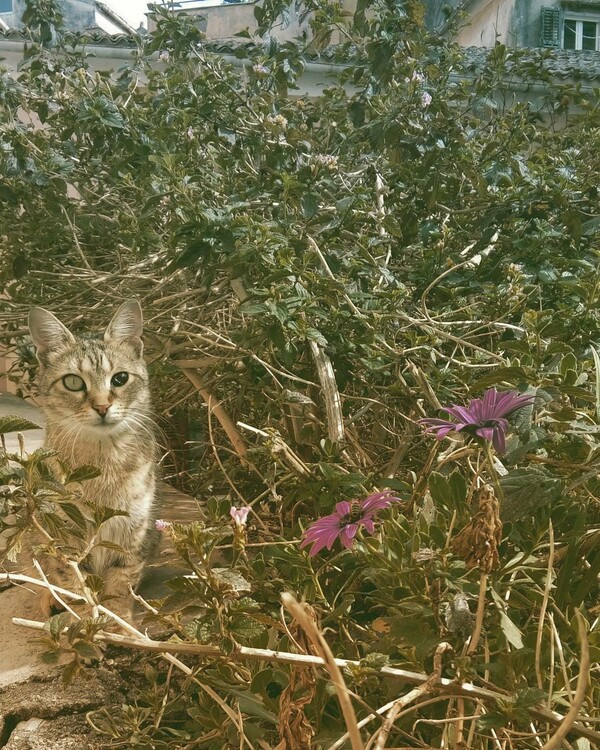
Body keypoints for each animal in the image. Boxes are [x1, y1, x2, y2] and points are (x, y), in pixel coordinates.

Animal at [28, 302, 158, 624]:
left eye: (120, 378)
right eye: (73, 382)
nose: (102, 406)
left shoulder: (133, 532)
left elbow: (121, 586)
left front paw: (119, 625)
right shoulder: (65, 537)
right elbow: (75, 583)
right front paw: (88, 622)